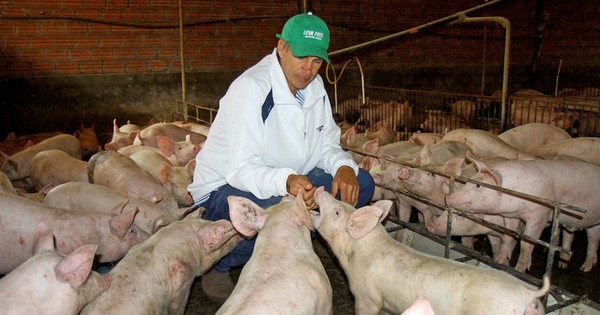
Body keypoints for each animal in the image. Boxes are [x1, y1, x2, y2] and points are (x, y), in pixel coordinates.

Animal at [446, 159, 600, 272]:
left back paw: (582, 269)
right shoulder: (512, 216)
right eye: (469, 180)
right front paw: (499, 261)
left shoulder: (539, 217)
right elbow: (507, 237)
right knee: (590, 238)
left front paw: (518, 270)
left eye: (478, 186)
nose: (447, 198)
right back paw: (574, 266)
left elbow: (526, 244)